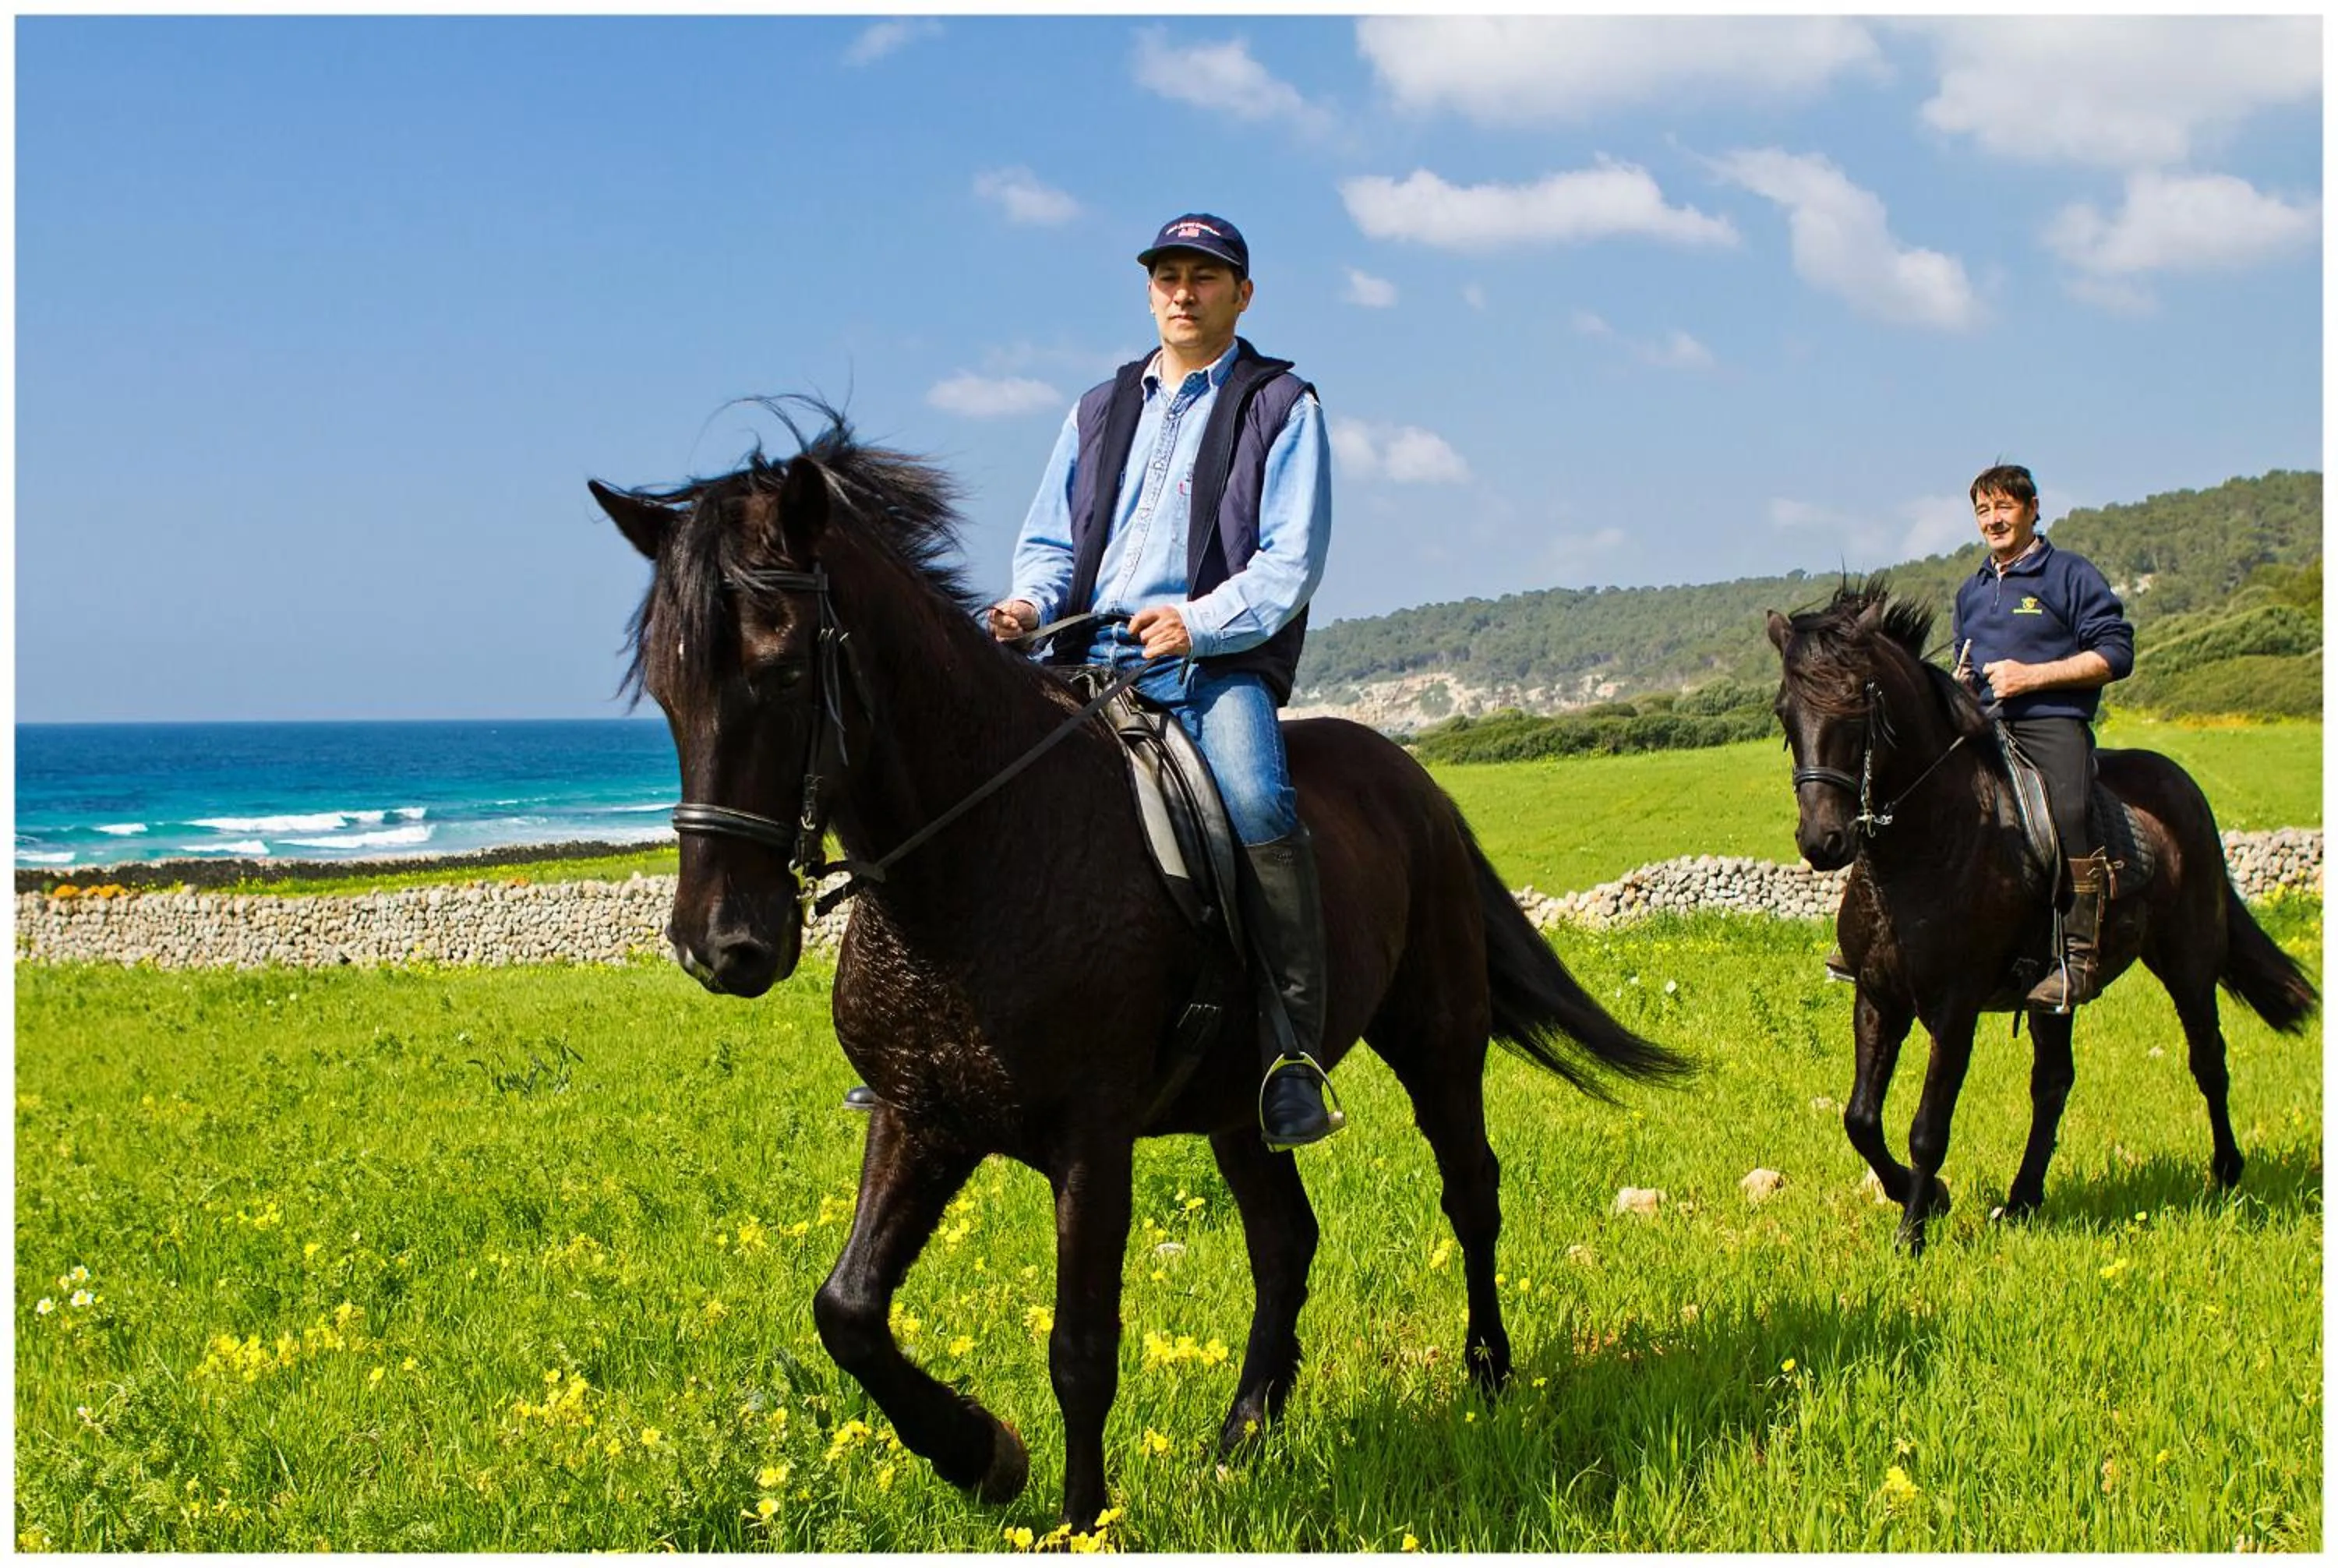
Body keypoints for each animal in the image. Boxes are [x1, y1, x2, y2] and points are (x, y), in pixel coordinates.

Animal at [590, 406, 1692, 1528]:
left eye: (779, 673)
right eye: (666, 690)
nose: (720, 945)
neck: (979, 856)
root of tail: (1414, 776)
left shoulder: (1092, 1138)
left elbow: (1081, 1348)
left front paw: (1080, 1520)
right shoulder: (920, 1117)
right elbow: (846, 1311)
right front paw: (982, 1455)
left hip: (1438, 1036)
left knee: (1469, 1191)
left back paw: (1486, 1375)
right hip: (1244, 1105)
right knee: (1286, 1242)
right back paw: (1243, 1436)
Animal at [1766, 578, 2317, 1255]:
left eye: (1856, 707)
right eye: (1784, 712)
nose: (1823, 842)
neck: (1926, 845)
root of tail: (2182, 786)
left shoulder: (1955, 1007)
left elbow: (1928, 1126)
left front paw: (1913, 1234)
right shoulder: (1876, 994)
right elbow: (1861, 1120)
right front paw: (1932, 1199)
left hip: (2188, 961)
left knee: (2208, 1059)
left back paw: (2226, 1175)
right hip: (2053, 996)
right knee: (2053, 1081)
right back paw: (2024, 1199)